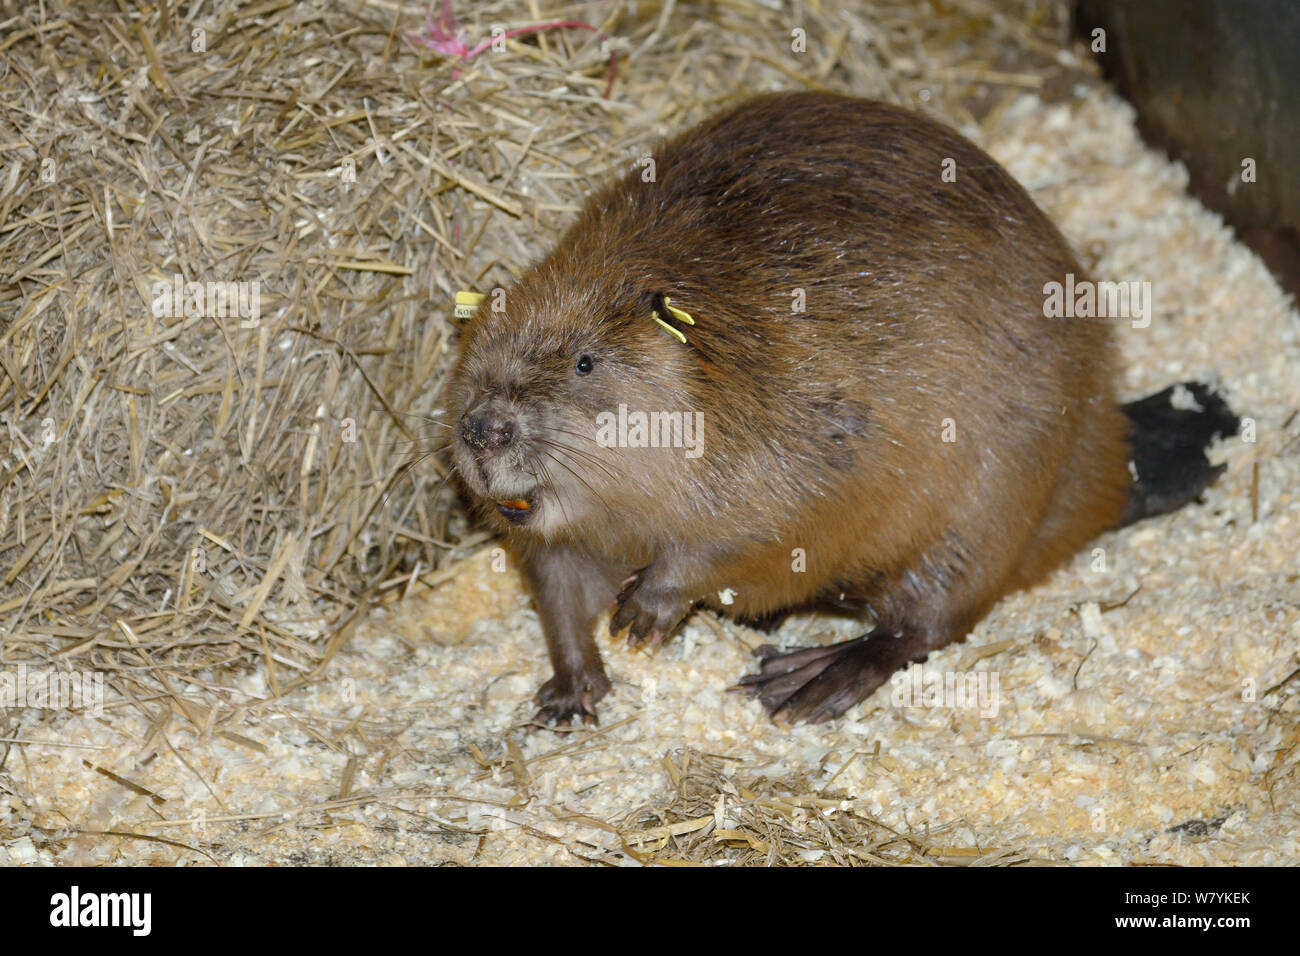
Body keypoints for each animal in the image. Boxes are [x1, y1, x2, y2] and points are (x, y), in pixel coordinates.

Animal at [439, 93, 1237, 728]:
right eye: (473, 350)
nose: (485, 429)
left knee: (925, 625)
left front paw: (643, 611)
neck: (721, 365)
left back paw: (803, 679)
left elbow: (765, 528)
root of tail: (1111, 455)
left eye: (584, 362)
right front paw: (570, 690)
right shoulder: (564, 536)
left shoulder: (810, 432)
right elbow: (556, 588)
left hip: (989, 504)